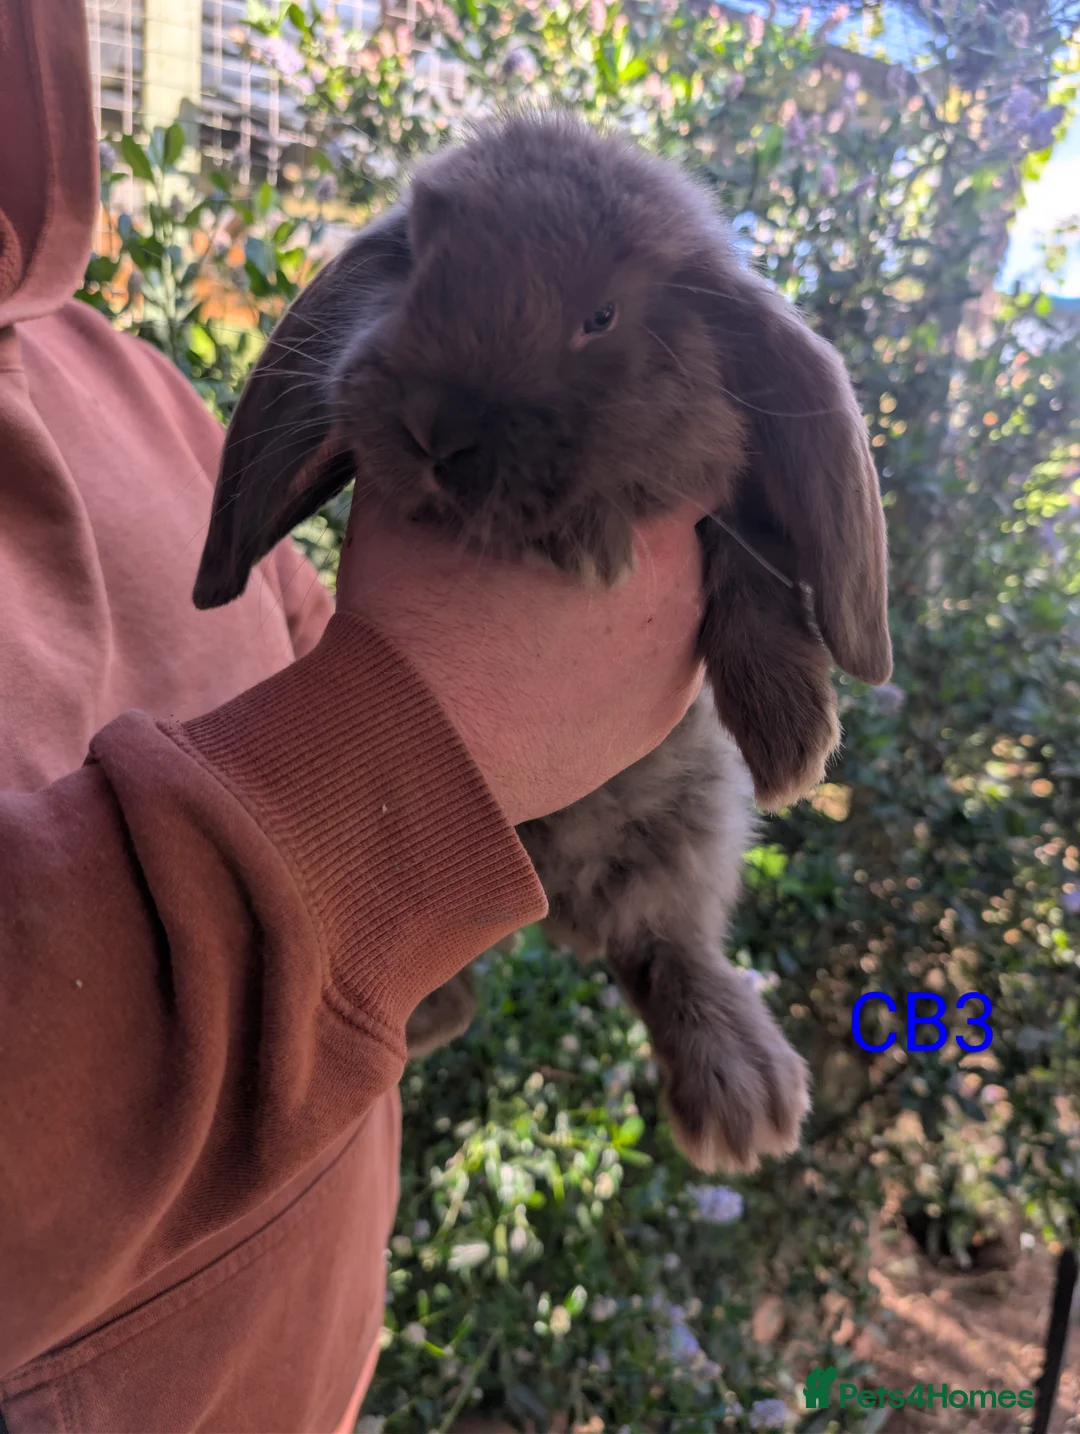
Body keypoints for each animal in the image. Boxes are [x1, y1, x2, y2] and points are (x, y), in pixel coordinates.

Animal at [192, 109, 892, 1173]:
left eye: (602, 315)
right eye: (419, 258)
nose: (435, 430)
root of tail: (558, 907)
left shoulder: (722, 505)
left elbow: (752, 566)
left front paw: (790, 741)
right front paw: (583, 541)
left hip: (691, 825)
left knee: (665, 948)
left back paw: (743, 1100)